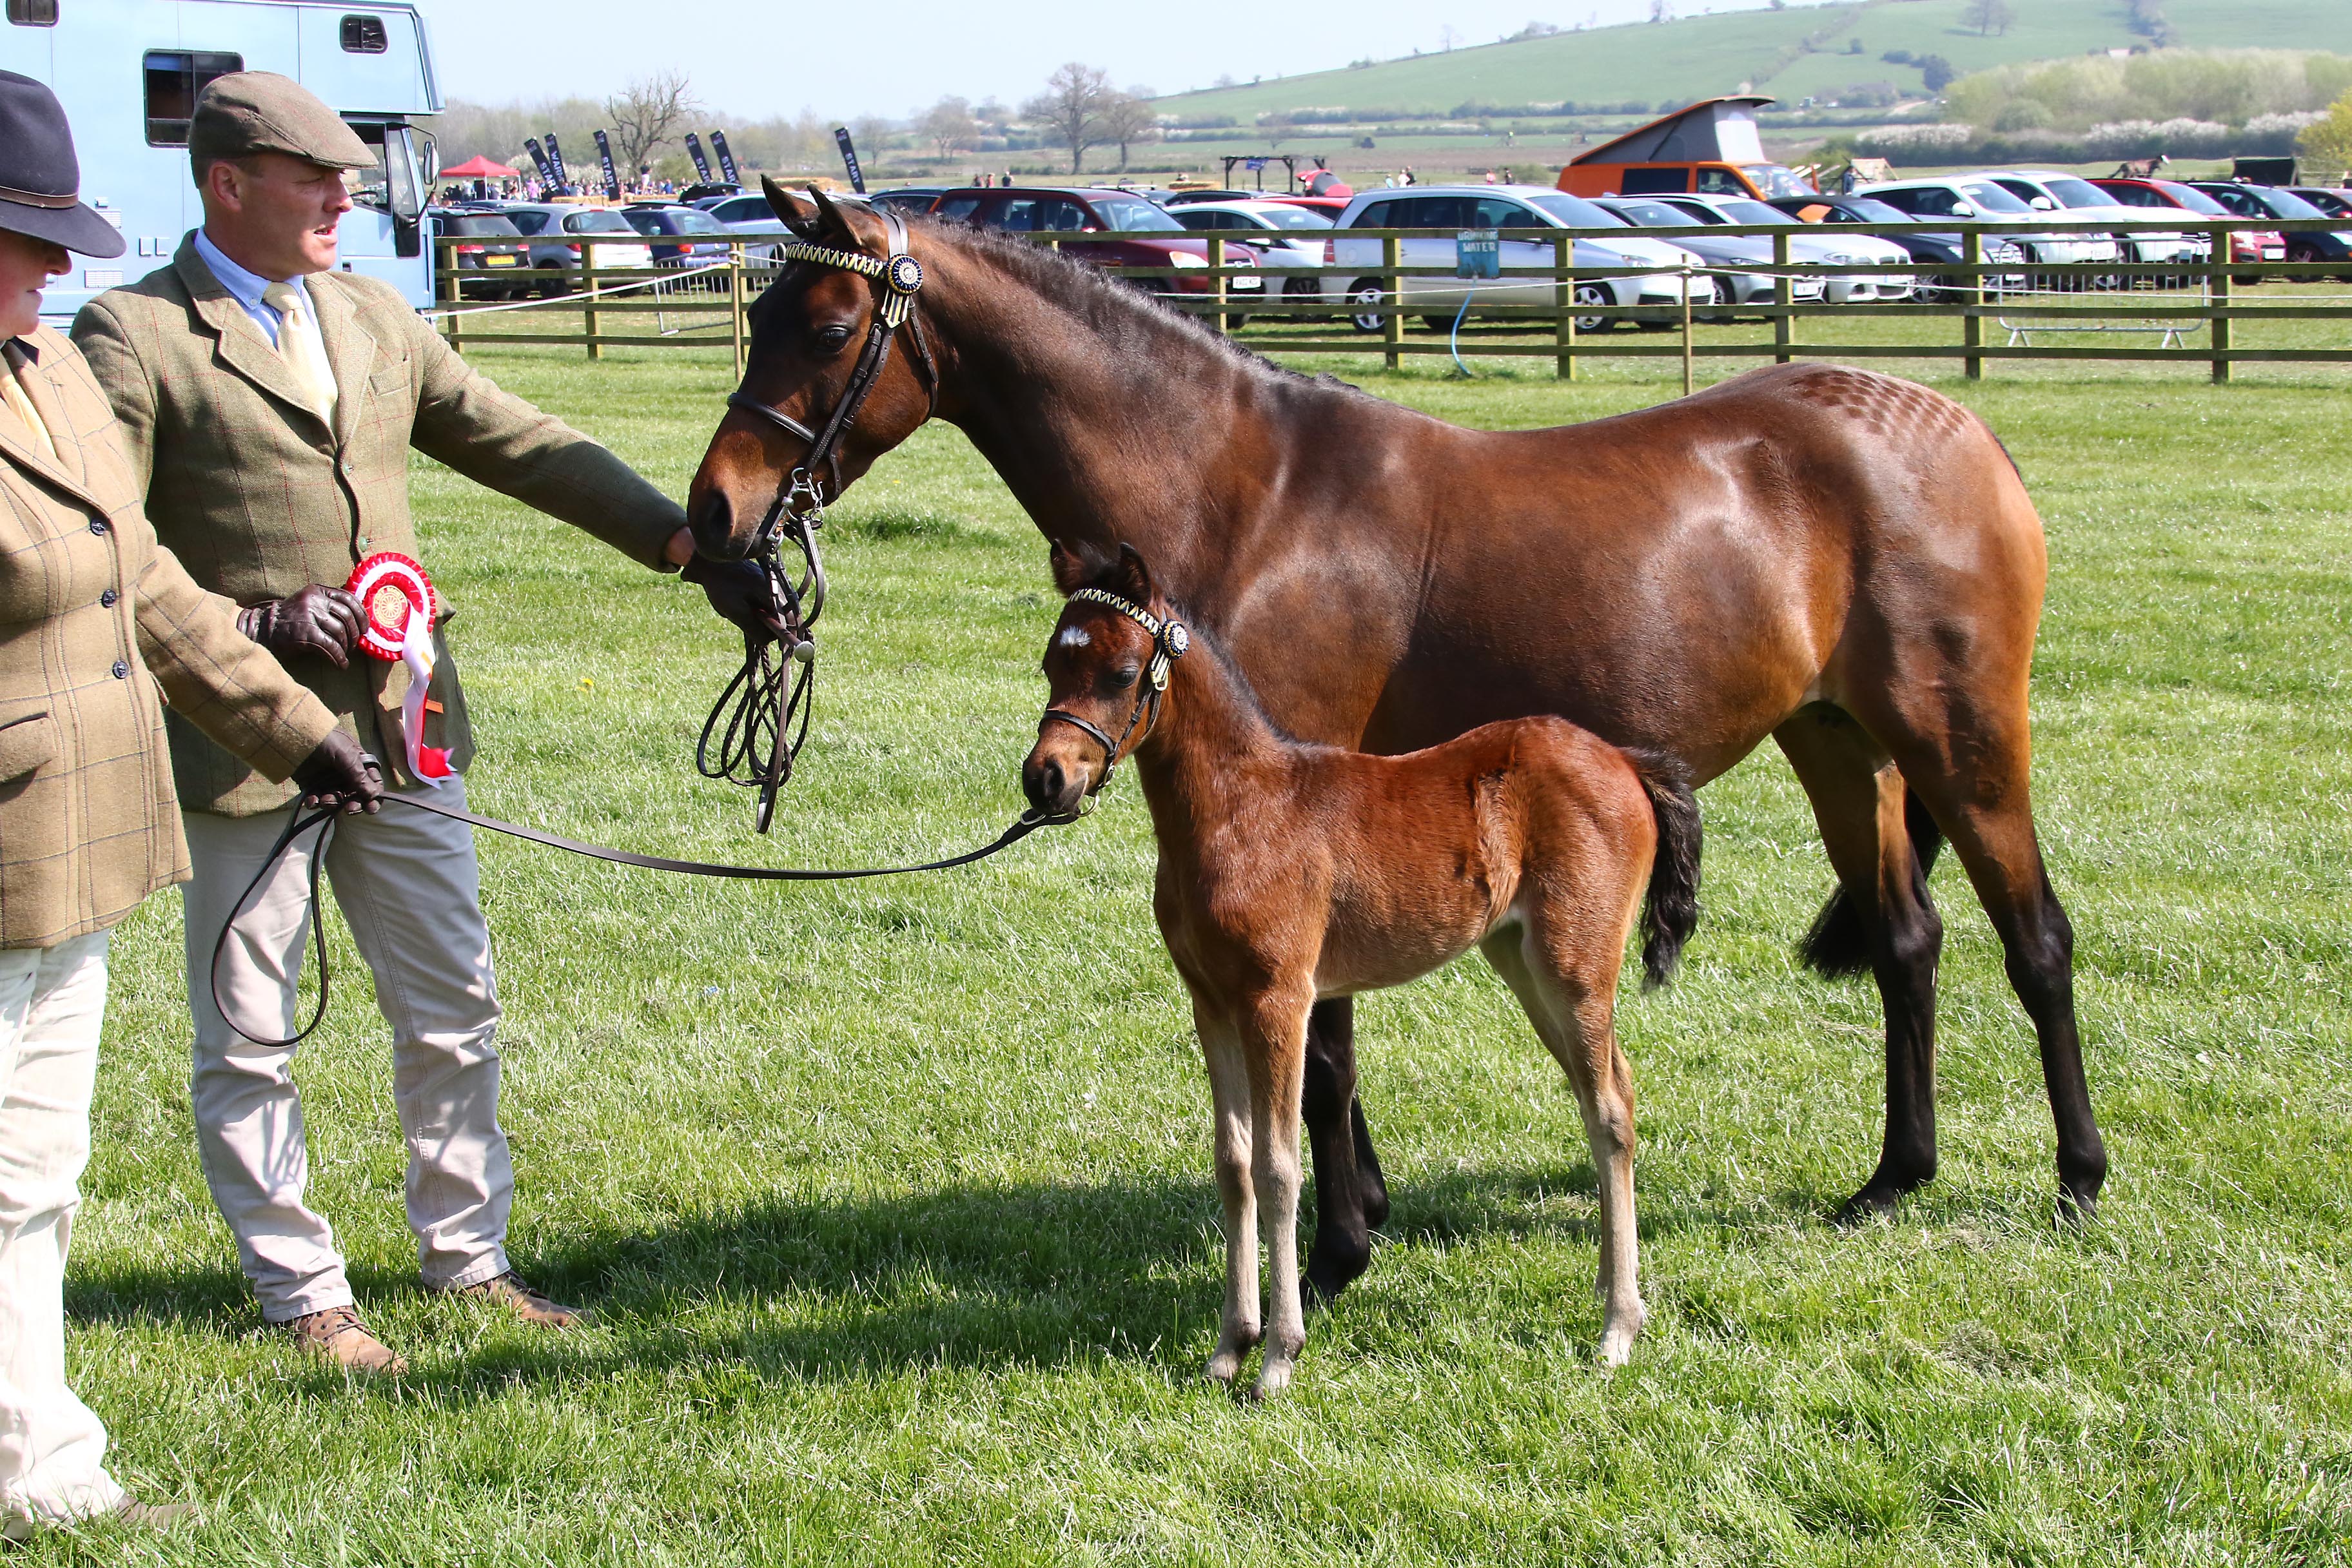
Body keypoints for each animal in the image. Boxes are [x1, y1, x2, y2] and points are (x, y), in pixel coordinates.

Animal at [1021, 543, 1703, 1401]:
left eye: (1118, 672)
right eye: (1051, 661)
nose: (1044, 778)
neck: (1241, 808)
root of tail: (1625, 760)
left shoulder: (1278, 999)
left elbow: (1281, 1167)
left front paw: (1279, 1355)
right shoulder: (1212, 1002)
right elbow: (1233, 1163)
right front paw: (1230, 1344)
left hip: (1574, 964)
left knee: (1611, 1105)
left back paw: (1616, 1327)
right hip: (1523, 961)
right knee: (1603, 1094)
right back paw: (1617, 1301)